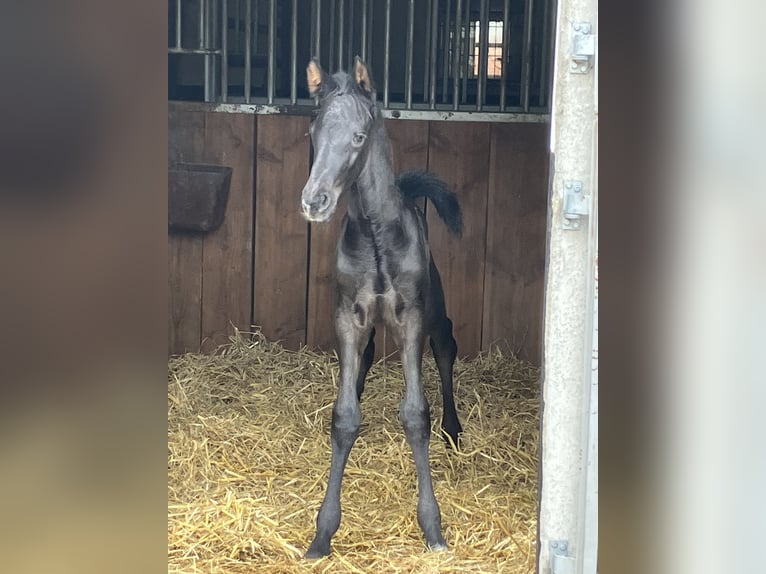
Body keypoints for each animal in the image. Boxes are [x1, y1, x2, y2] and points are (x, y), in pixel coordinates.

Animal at [300, 56, 463, 558]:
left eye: (359, 135)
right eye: (312, 133)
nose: (314, 201)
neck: (376, 237)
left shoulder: (411, 319)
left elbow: (415, 414)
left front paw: (433, 530)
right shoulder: (348, 318)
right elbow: (344, 417)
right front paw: (322, 535)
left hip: (436, 315)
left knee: (446, 349)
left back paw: (454, 428)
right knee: (367, 362)